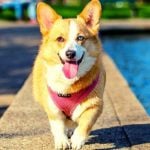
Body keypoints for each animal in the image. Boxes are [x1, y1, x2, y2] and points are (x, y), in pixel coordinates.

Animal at [32, 0, 105, 149]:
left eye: (80, 38)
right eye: (60, 39)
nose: (70, 53)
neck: (69, 85)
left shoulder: (95, 105)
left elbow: (85, 123)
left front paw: (77, 139)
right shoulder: (52, 109)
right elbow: (57, 125)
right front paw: (61, 141)